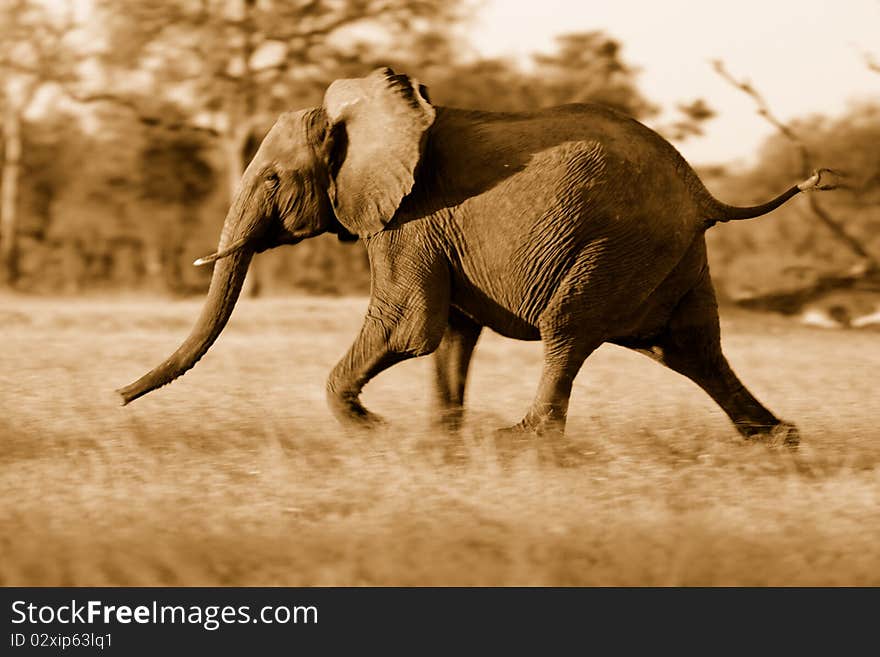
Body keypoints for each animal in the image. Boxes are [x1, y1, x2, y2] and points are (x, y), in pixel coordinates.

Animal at [115, 66, 832, 448]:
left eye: (270, 180)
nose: (117, 396)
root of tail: (702, 190)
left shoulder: (407, 221)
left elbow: (409, 327)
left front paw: (377, 430)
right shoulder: (431, 233)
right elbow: (452, 336)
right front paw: (440, 440)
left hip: (619, 246)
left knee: (571, 329)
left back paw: (523, 440)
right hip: (669, 255)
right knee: (689, 348)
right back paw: (777, 441)